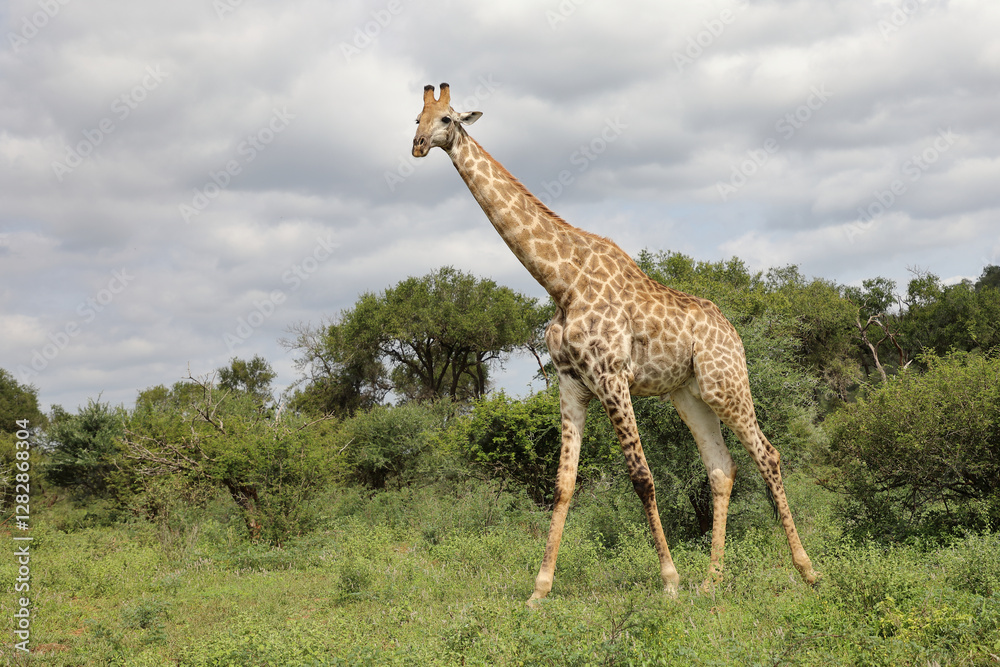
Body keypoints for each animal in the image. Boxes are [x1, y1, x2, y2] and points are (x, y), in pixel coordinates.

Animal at [412, 83, 820, 606]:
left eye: (446, 118)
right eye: (416, 117)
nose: (418, 146)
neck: (559, 282)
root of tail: (734, 331)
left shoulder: (611, 377)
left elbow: (641, 476)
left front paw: (669, 581)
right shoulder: (570, 383)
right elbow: (564, 483)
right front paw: (539, 590)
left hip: (725, 383)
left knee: (767, 454)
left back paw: (807, 570)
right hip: (688, 394)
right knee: (721, 467)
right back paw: (712, 580)